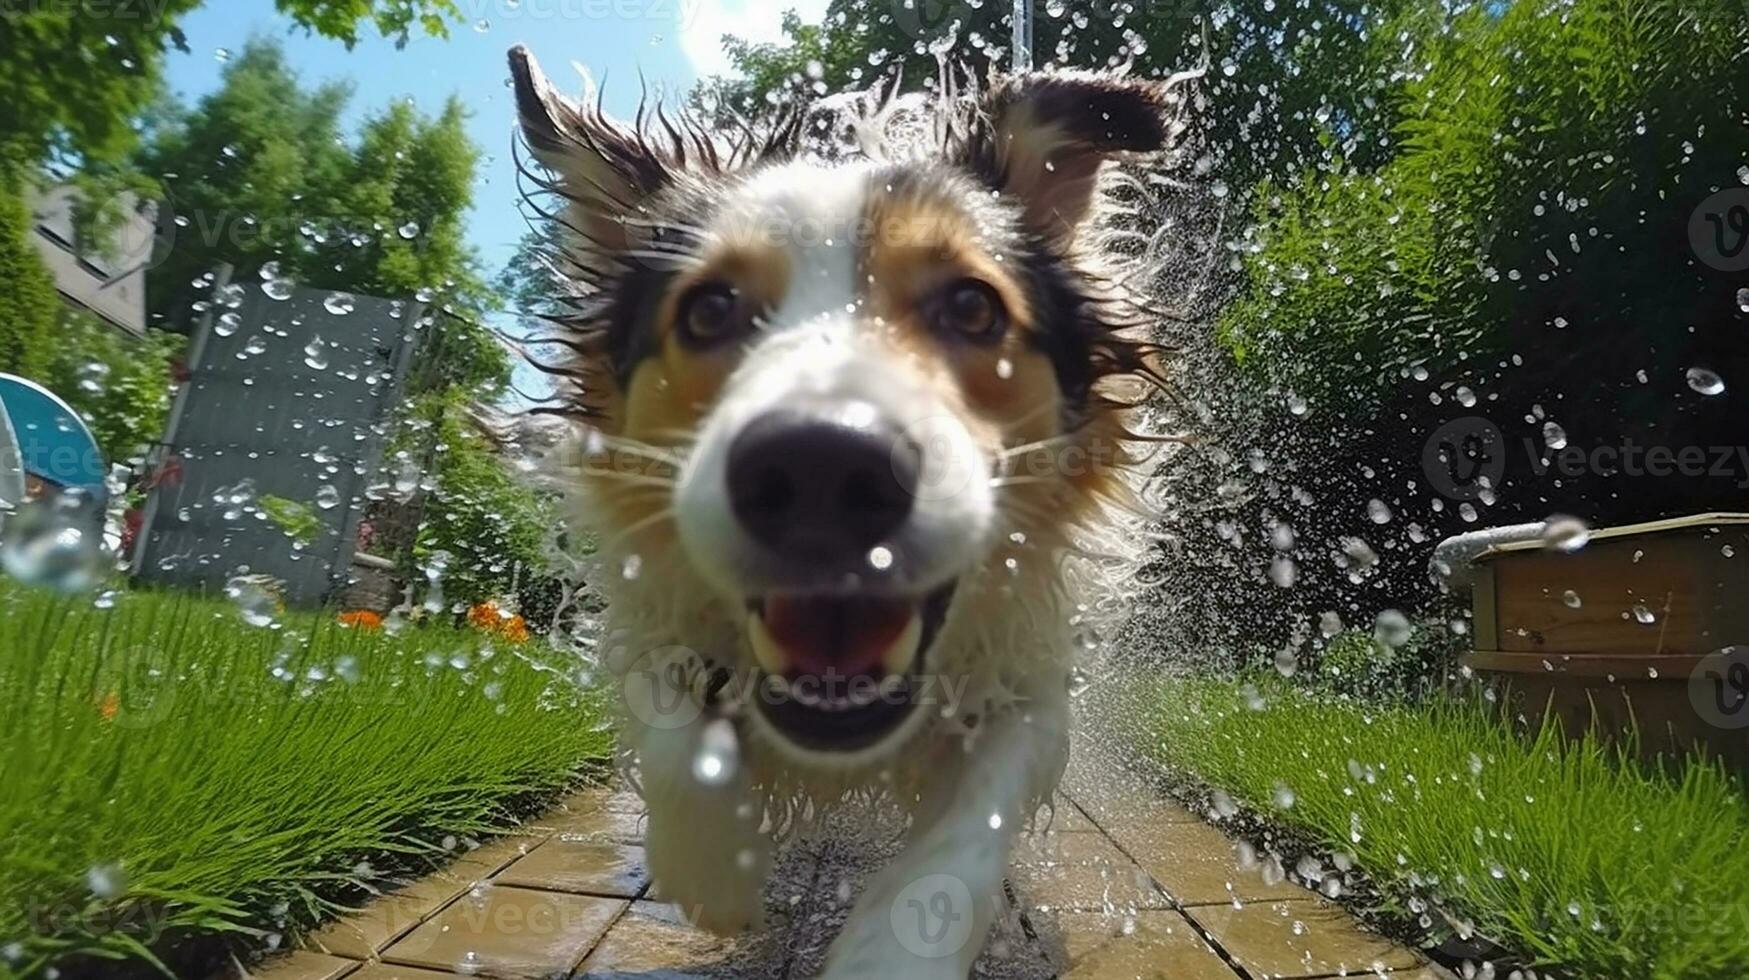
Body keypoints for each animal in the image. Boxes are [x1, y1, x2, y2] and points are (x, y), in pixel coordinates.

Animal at [510, 47, 1189, 980]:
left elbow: (970, 823)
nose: (820, 468)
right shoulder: (649, 606)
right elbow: (670, 722)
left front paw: (894, 948)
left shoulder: (1030, 674)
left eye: (971, 305)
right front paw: (712, 868)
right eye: (709, 310)